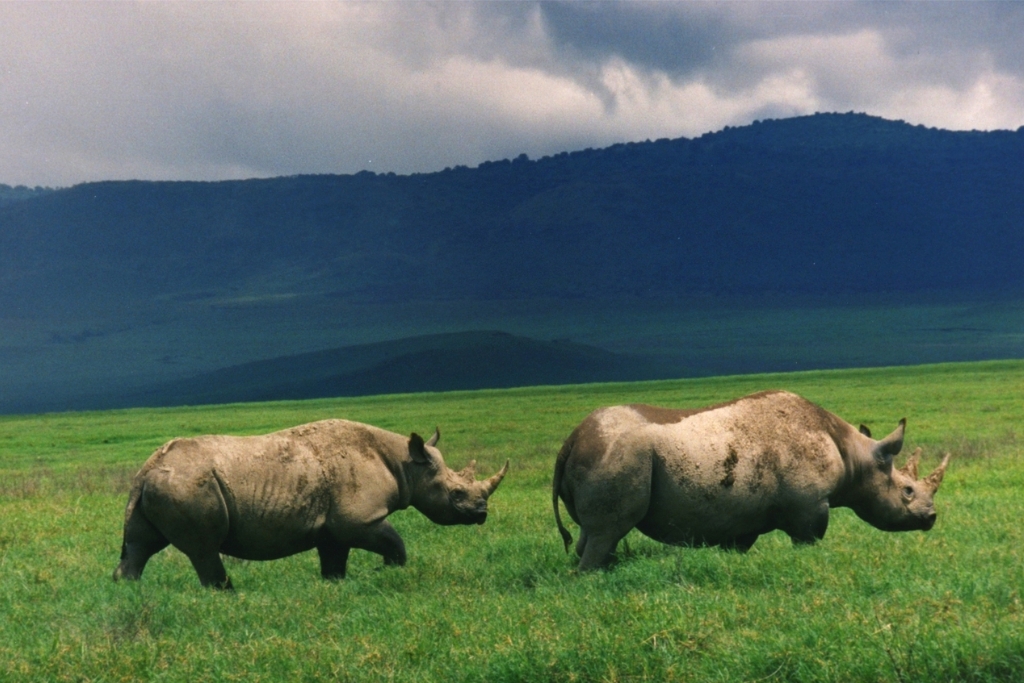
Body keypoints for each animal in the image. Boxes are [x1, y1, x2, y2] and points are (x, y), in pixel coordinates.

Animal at [113, 419, 508, 588]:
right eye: (456, 495)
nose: (482, 514)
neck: (406, 463)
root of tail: (146, 470)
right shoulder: (359, 518)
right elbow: (395, 543)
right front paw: (386, 572)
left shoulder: (333, 527)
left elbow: (334, 561)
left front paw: (336, 585)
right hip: (188, 485)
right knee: (204, 549)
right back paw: (227, 594)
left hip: (160, 486)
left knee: (140, 545)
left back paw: (128, 591)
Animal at [553, 390, 950, 570]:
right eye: (907, 491)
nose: (931, 518)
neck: (857, 456)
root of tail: (571, 439)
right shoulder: (809, 506)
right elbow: (808, 540)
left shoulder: (740, 517)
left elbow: (737, 545)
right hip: (618, 453)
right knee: (607, 531)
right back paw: (593, 575)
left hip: (605, 452)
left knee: (593, 533)